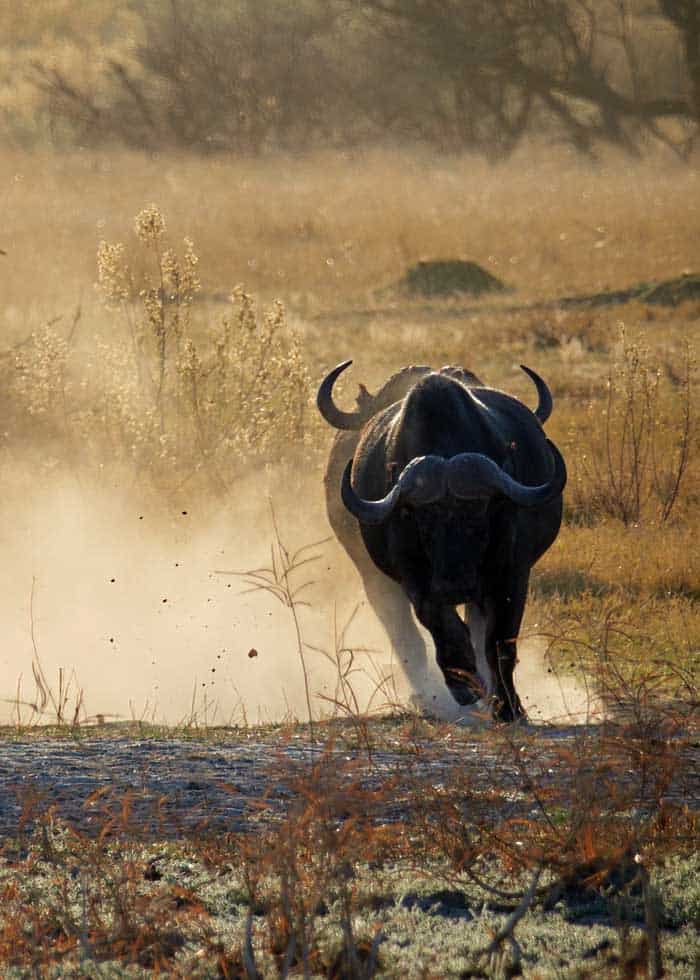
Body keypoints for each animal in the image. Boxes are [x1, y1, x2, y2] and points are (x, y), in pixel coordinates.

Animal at [320, 360, 568, 720]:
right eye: (424, 522)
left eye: (480, 516)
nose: (455, 586)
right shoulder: (413, 580)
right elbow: (442, 626)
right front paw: (463, 684)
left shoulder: (512, 575)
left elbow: (499, 641)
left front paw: (509, 707)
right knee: (406, 634)